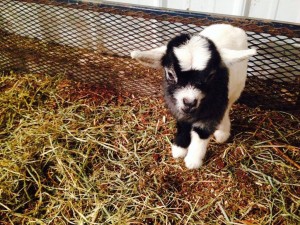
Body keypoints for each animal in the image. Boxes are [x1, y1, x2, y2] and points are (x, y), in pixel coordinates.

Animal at [131, 24, 255, 169]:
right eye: (170, 74)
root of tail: (231, 27)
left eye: (210, 76)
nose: (189, 102)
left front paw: (193, 161)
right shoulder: (178, 107)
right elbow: (183, 124)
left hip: (236, 89)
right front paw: (179, 148)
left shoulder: (210, 111)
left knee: (227, 107)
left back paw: (222, 132)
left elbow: (201, 133)